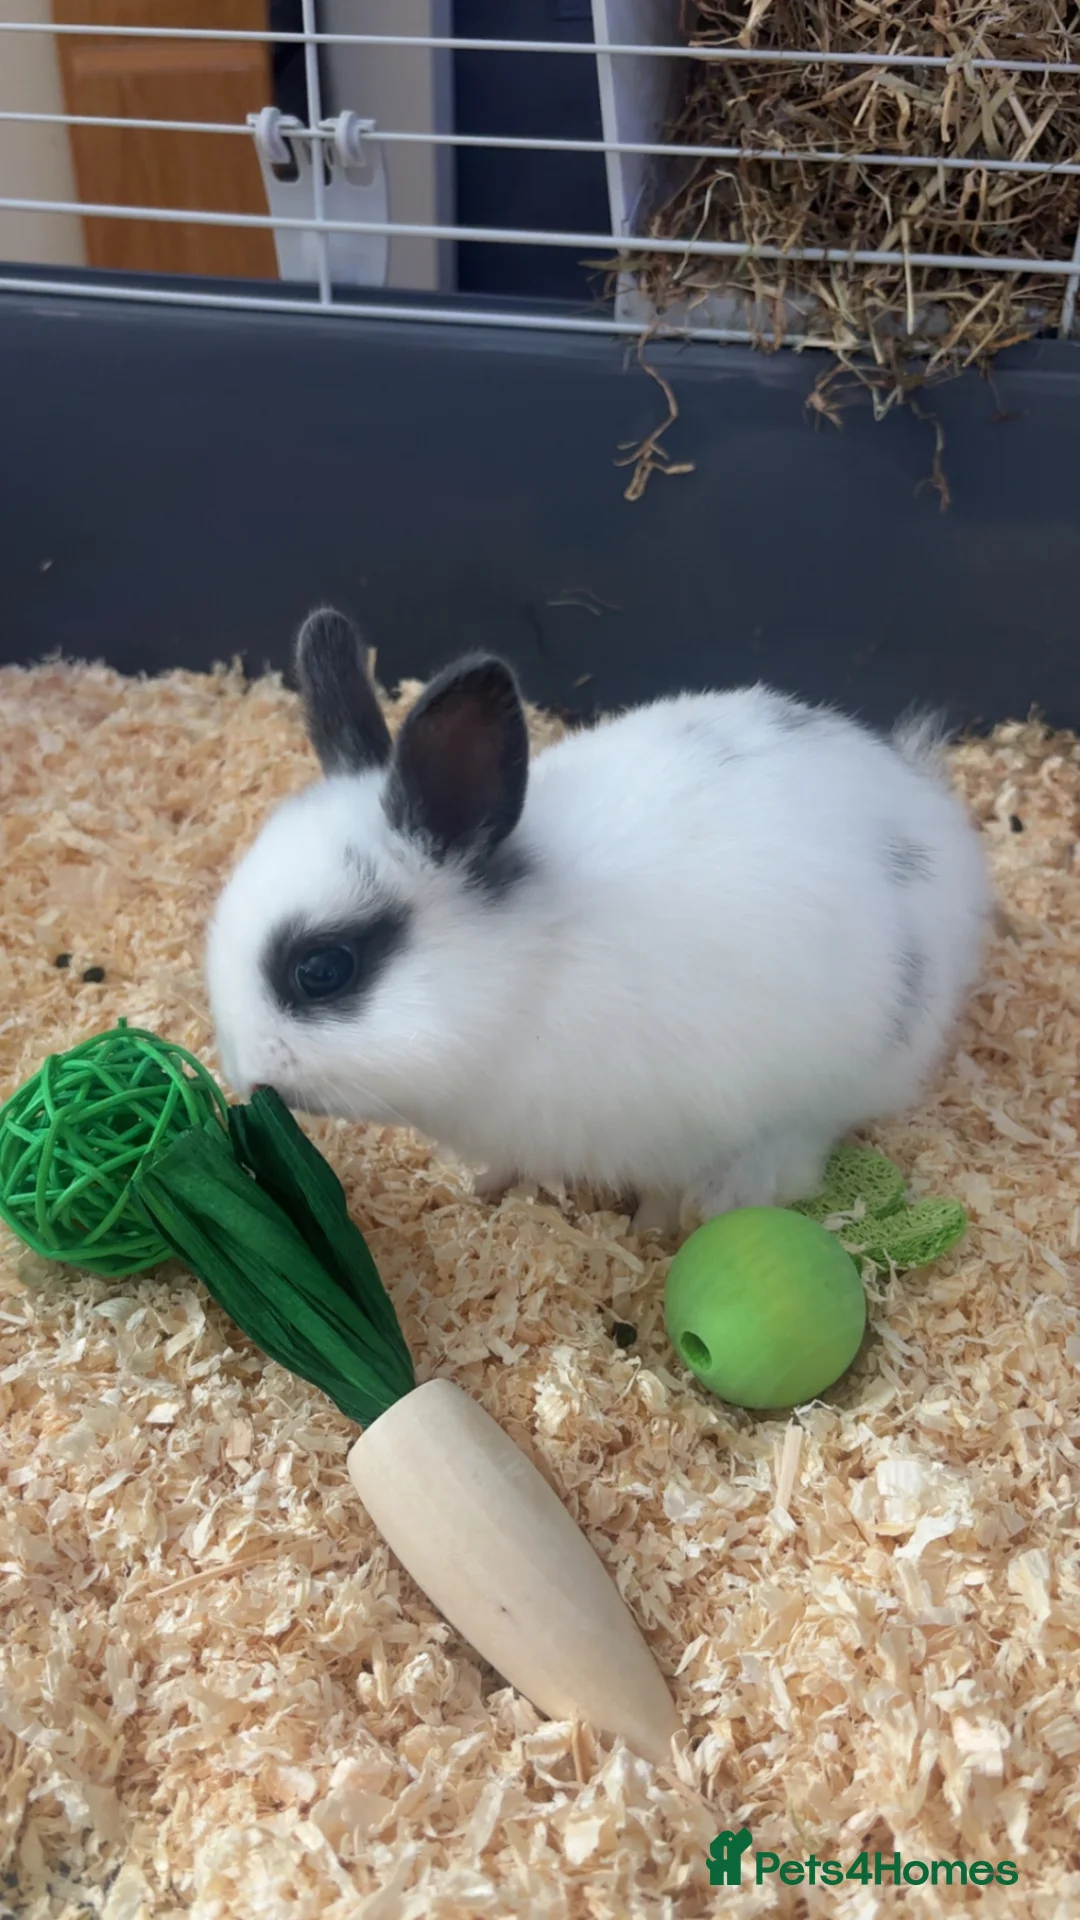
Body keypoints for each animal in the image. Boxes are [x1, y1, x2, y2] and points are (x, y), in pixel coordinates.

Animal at [205, 607, 993, 1235]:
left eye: (321, 970)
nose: (244, 1073)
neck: (525, 981)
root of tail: (928, 813)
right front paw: (483, 1190)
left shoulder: (677, 1131)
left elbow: (661, 1193)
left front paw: (649, 1234)